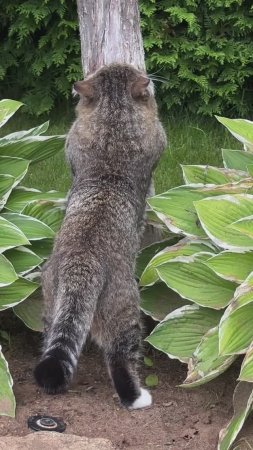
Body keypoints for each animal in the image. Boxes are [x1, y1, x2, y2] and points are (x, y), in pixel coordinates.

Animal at [34, 61, 168, 410]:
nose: (147, 75)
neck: (112, 123)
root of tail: (82, 266)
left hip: (51, 305)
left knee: (54, 341)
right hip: (126, 315)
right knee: (120, 360)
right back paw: (137, 398)